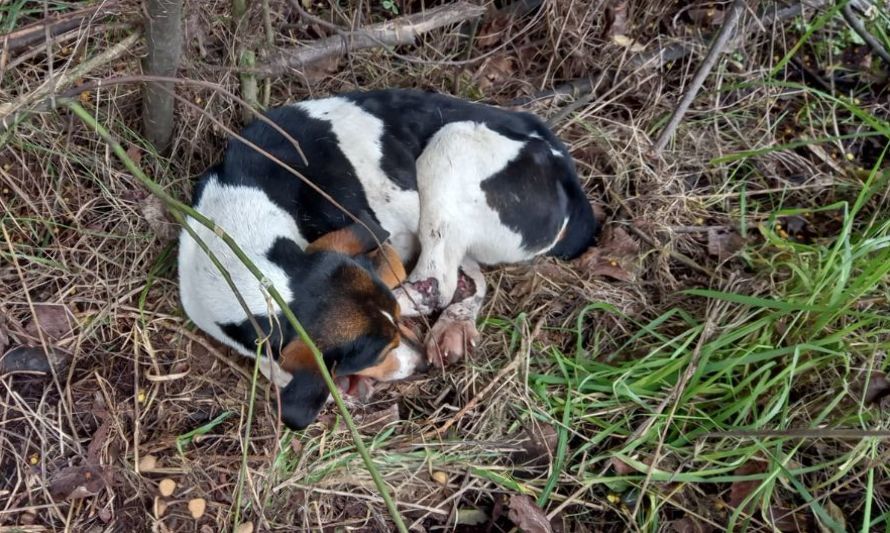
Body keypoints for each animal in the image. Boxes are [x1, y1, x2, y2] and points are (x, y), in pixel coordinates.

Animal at [175, 87, 596, 428]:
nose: (420, 364)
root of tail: (562, 164)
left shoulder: (382, 240)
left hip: (451, 144)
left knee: (435, 284)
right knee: (468, 278)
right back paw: (455, 325)